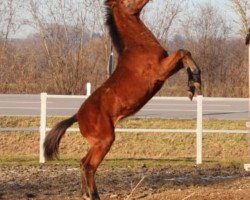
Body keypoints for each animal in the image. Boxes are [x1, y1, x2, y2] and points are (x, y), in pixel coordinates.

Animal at [44, 0, 202, 199]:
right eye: (128, 2)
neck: (139, 46)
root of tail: (77, 116)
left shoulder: (167, 68)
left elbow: (184, 55)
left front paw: (192, 84)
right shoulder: (160, 70)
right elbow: (183, 52)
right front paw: (195, 81)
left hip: (98, 143)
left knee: (82, 163)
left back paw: (87, 194)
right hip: (105, 140)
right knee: (88, 166)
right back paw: (93, 195)